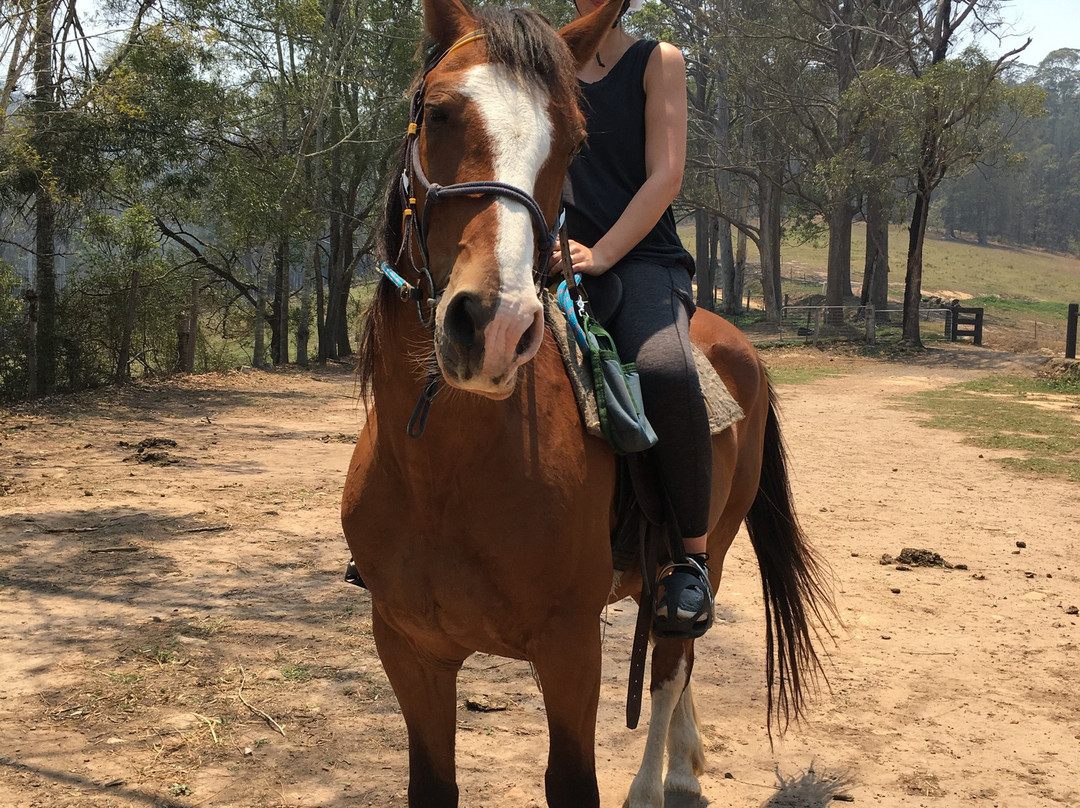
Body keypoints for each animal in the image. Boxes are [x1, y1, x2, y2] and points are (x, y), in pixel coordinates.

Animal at [342, 1, 833, 806]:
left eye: (572, 142)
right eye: (439, 112)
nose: (497, 326)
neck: (448, 474)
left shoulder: (570, 646)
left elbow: (575, 779)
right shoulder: (410, 647)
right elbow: (433, 782)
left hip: (710, 546)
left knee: (672, 661)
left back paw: (665, 781)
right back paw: (688, 760)